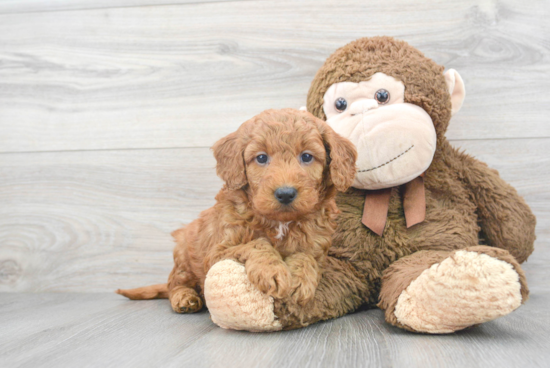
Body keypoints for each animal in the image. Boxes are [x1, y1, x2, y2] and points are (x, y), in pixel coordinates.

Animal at [116, 108, 358, 314]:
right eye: (261, 158)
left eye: (307, 156)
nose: (285, 193)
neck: (279, 222)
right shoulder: (217, 252)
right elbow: (256, 244)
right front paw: (271, 270)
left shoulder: (317, 247)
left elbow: (306, 257)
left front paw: (300, 280)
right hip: (184, 252)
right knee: (175, 283)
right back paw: (184, 298)